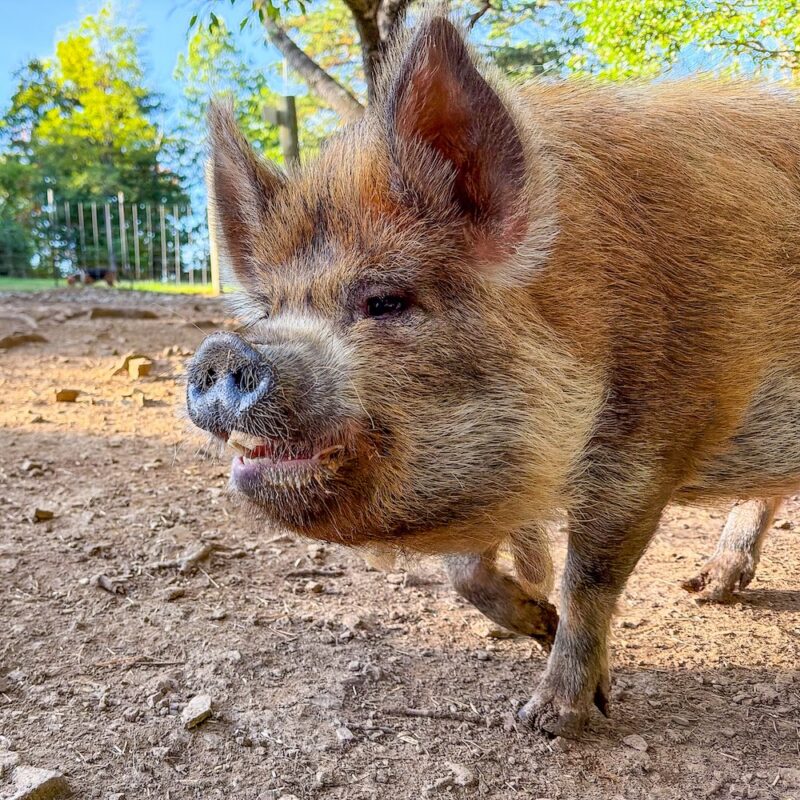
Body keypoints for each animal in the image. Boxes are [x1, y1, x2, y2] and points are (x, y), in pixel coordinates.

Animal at [186, 11, 800, 737]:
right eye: (270, 309)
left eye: (386, 300)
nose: (221, 352)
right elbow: (464, 571)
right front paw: (539, 624)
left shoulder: (655, 433)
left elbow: (590, 577)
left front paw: (550, 719)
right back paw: (707, 591)